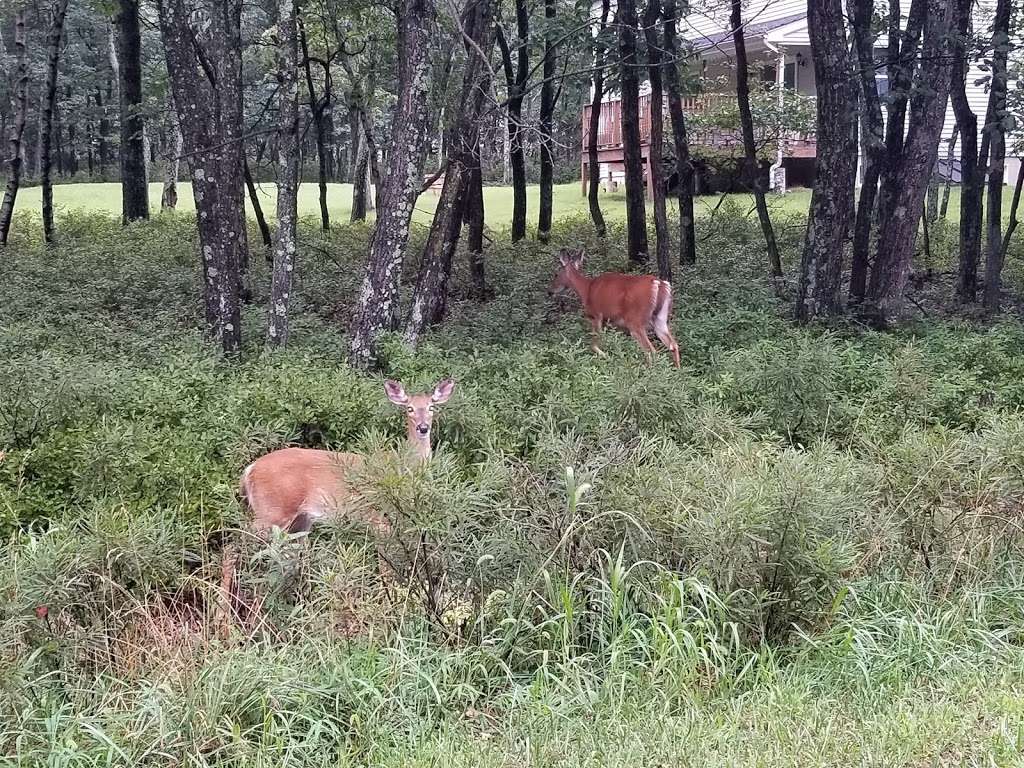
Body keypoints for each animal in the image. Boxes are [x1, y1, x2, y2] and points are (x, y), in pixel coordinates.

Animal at [220, 378, 456, 638]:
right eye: (410, 408)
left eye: (432, 407)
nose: (423, 428)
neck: (402, 468)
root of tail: (249, 471)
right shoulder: (379, 520)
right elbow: (385, 567)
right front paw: (389, 609)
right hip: (271, 512)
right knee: (232, 547)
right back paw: (226, 621)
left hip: (299, 522)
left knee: (284, 561)